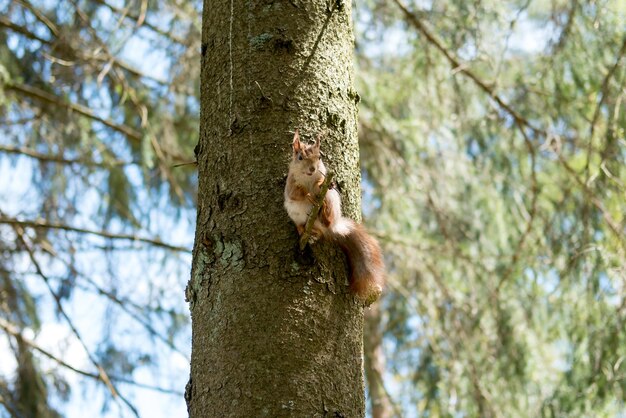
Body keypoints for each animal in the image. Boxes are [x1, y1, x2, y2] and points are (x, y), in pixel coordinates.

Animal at [282, 129, 380, 302]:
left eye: (319, 157)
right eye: (300, 157)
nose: (312, 169)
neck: (308, 178)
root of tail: (333, 228)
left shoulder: (323, 177)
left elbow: (321, 182)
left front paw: (320, 184)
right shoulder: (291, 185)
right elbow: (298, 193)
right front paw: (308, 195)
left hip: (332, 199)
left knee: (326, 219)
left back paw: (324, 212)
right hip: (295, 213)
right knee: (305, 226)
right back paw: (304, 230)